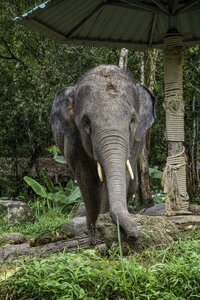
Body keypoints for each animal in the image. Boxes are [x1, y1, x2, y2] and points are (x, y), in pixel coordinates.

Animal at [49, 65, 155, 239]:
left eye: (132, 120)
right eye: (86, 122)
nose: (134, 235)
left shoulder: (136, 142)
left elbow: (122, 176)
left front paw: (104, 226)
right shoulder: (74, 143)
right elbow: (87, 181)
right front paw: (95, 233)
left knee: (132, 185)